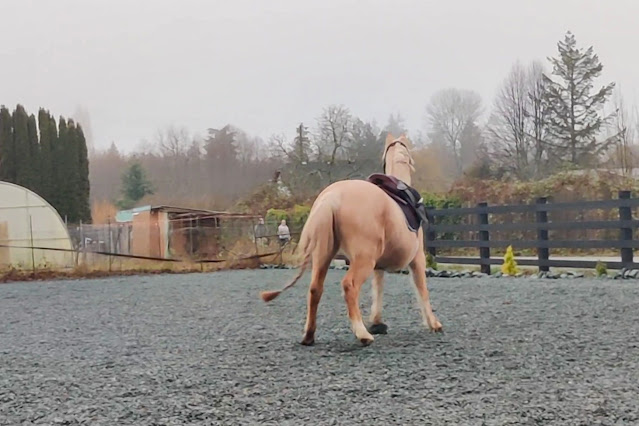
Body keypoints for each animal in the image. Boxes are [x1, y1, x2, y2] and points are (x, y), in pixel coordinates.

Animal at [260, 134, 443, 346]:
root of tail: (332, 197)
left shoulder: (378, 266)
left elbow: (378, 290)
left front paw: (377, 322)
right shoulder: (417, 259)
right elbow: (422, 290)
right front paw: (433, 324)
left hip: (323, 256)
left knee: (315, 289)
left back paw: (309, 335)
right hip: (362, 260)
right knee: (349, 286)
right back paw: (362, 334)